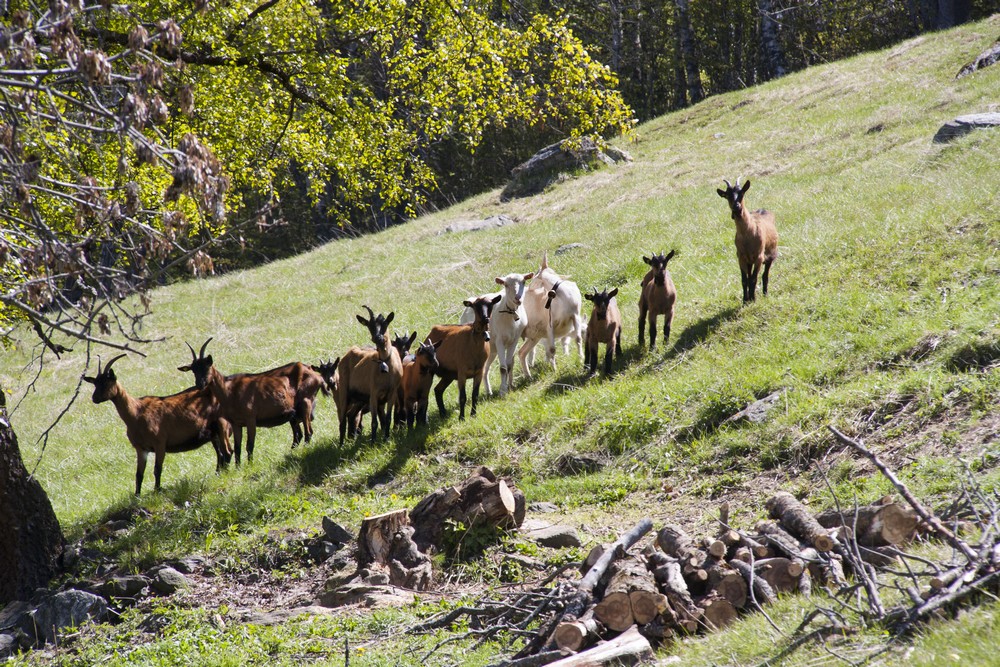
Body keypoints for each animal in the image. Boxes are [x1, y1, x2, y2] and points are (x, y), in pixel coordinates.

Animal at [83, 354, 230, 496]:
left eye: (107, 381)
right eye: (95, 383)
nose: (94, 398)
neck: (137, 413)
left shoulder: (160, 444)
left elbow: (157, 469)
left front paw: (157, 491)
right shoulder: (141, 448)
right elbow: (139, 474)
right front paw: (137, 496)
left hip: (222, 426)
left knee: (226, 452)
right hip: (213, 432)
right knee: (220, 454)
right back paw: (218, 473)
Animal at [176, 340, 324, 464]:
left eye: (207, 366)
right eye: (193, 370)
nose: (200, 384)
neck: (230, 392)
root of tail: (312, 372)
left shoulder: (251, 419)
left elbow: (249, 445)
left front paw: (250, 465)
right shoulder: (236, 423)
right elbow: (238, 447)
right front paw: (238, 468)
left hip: (306, 402)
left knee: (308, 431)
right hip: (294, 413)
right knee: (299, 434)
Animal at [334, 306, 400, 444]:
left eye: (385, 323)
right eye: (370, 325)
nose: (377, 338)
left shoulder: (392, 393)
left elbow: (388, 418)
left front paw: (386, 439)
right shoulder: (374, 394)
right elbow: (374, 421)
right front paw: (373, 442)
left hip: (359, 398)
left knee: (351, 415)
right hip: (344, 392)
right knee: (342, 421)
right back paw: (341, 445)